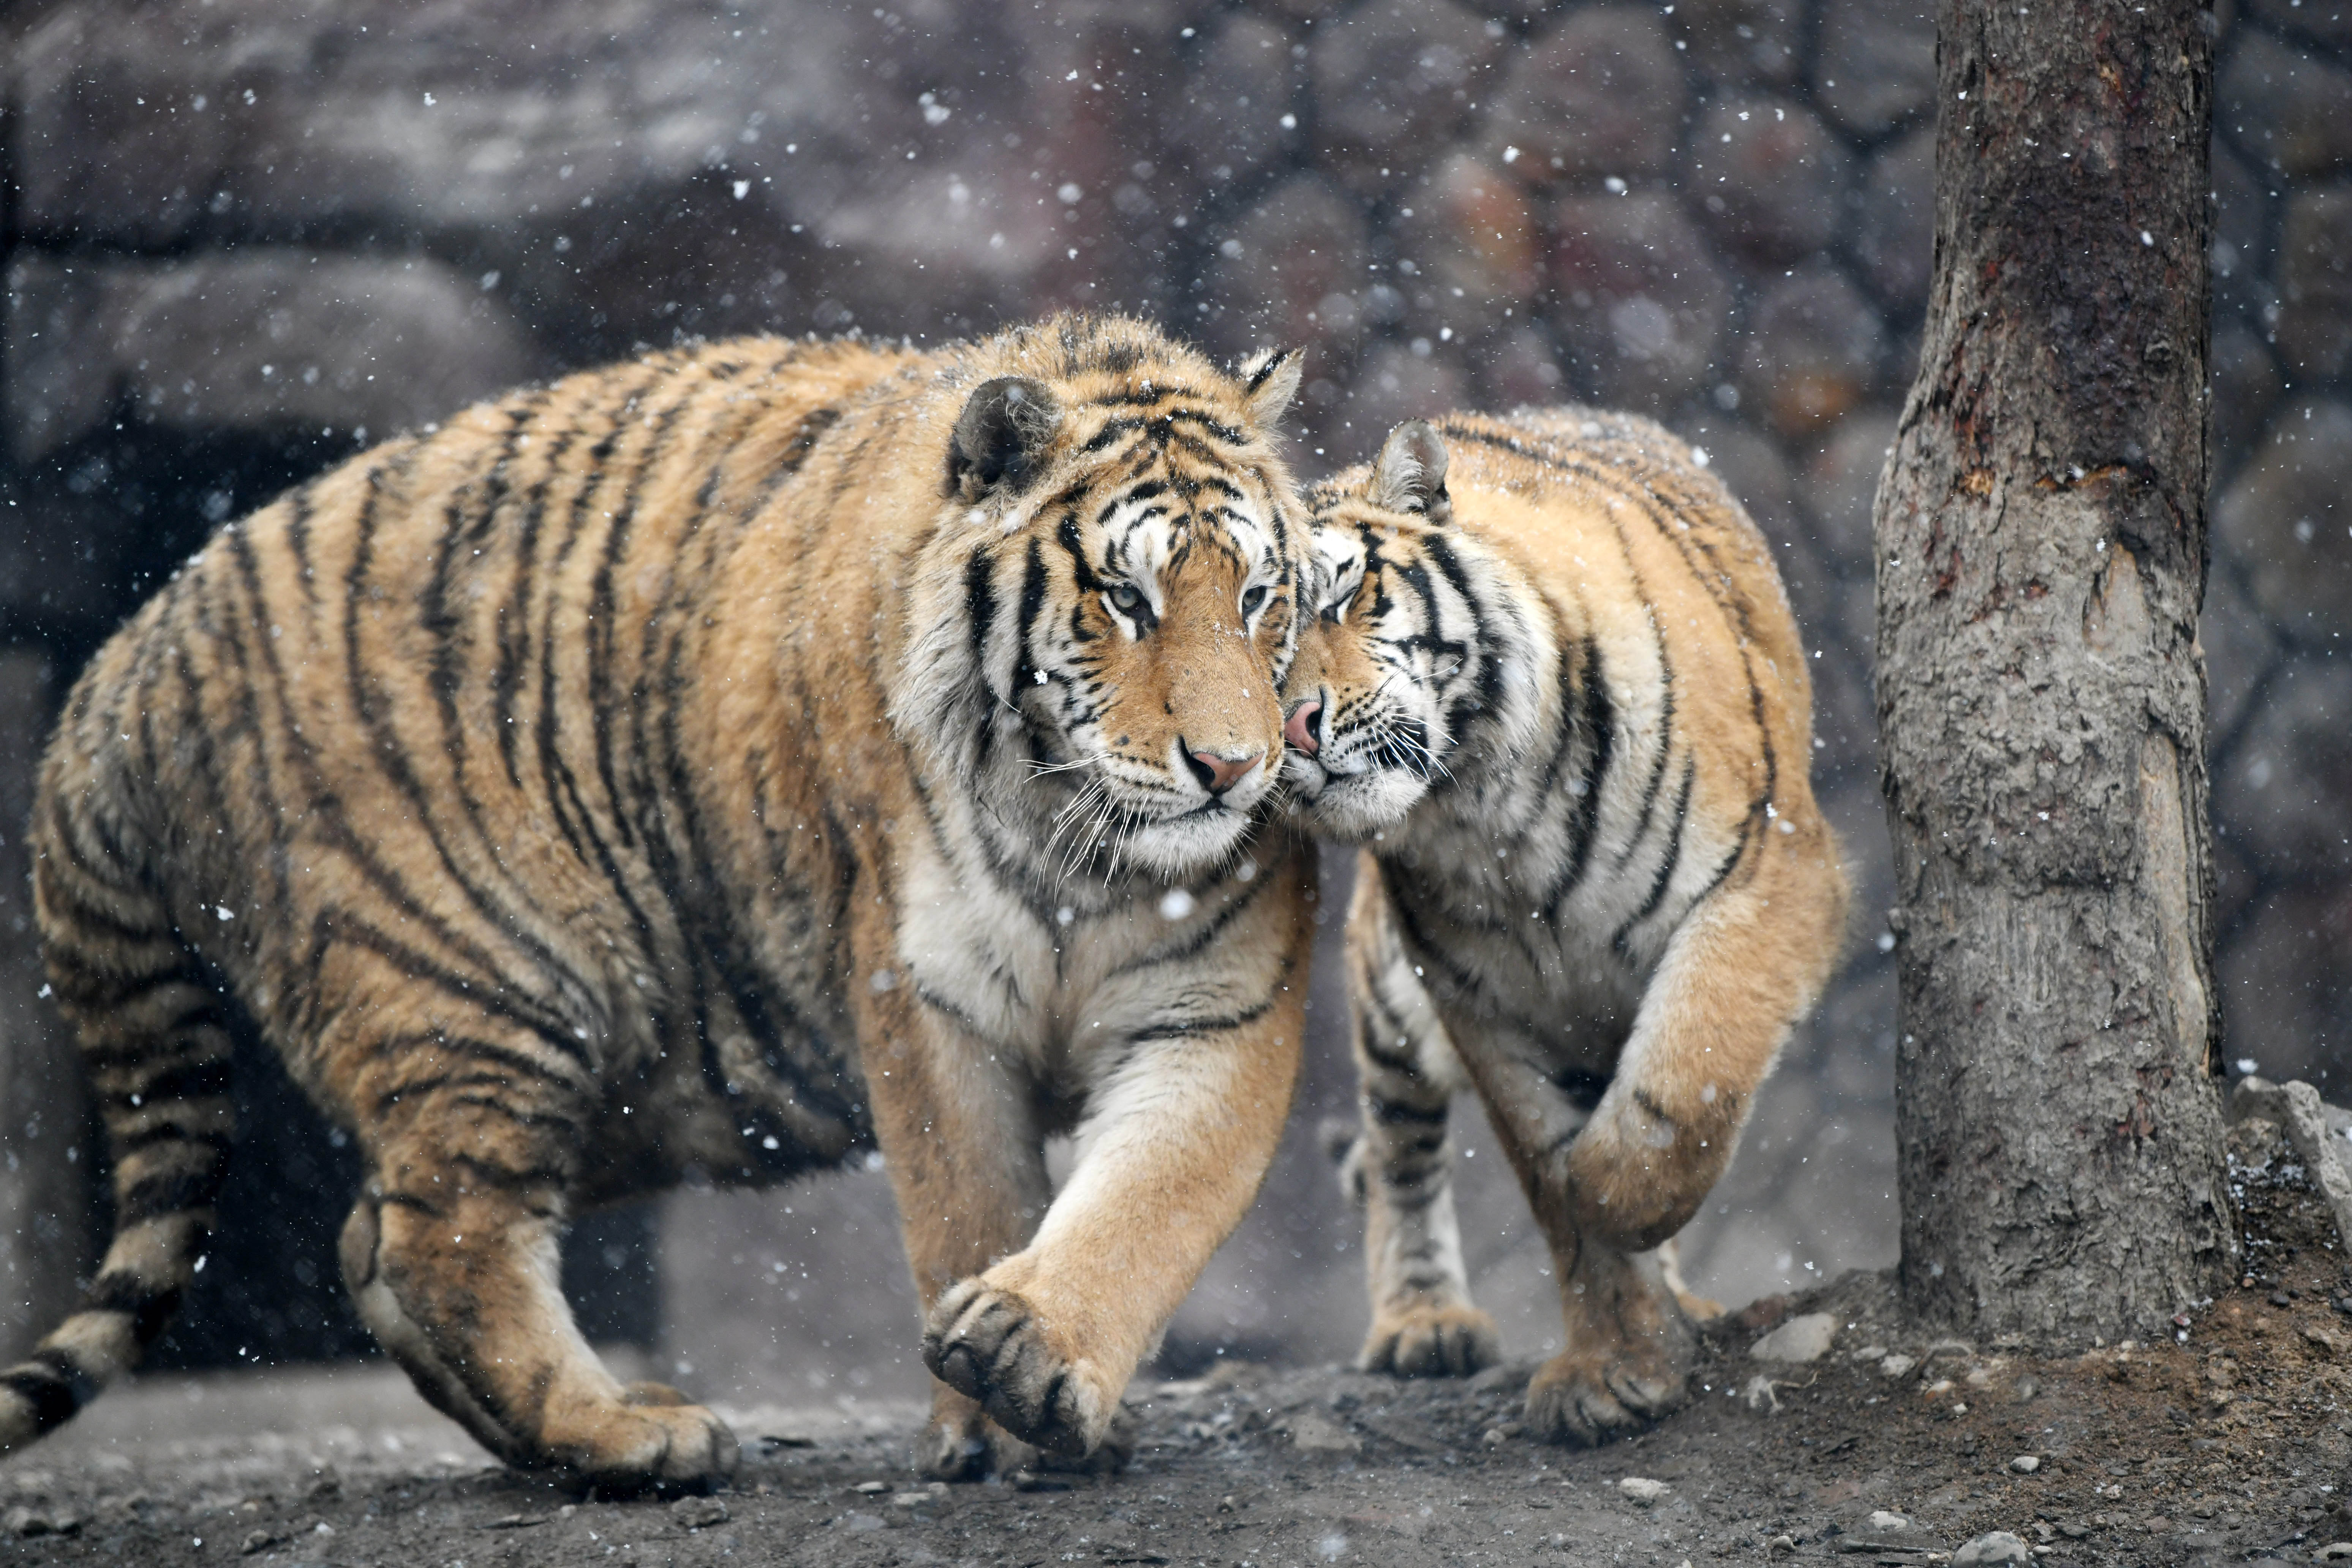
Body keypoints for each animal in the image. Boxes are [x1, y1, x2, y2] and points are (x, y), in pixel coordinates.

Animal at [9, 313, 1326, 1495]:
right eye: (1126, 599)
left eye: (1259, 597)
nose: (1232, 767)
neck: (1079, 838)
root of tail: (129, 655)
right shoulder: (923, 995)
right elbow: (968, 1201)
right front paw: (992, 1424)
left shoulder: (1217, 1004)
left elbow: (1154, 1193)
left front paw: (1034, 1364)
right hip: (486, 988)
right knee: (443, 1238)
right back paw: (632, 1438)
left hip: (639, 1075)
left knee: (372, 1231)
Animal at [1289, 409, 1853, 1448]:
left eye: (1349, 598)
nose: (1298, 727)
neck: (1480, 808)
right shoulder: (1475, 994)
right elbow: (1547, 1181)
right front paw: (1611, 1368)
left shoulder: (1771, 875)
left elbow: (1683, 1083)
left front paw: (1619, 1200)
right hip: (1387, 997)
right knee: (1398, 1146)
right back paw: (1422, 1322)